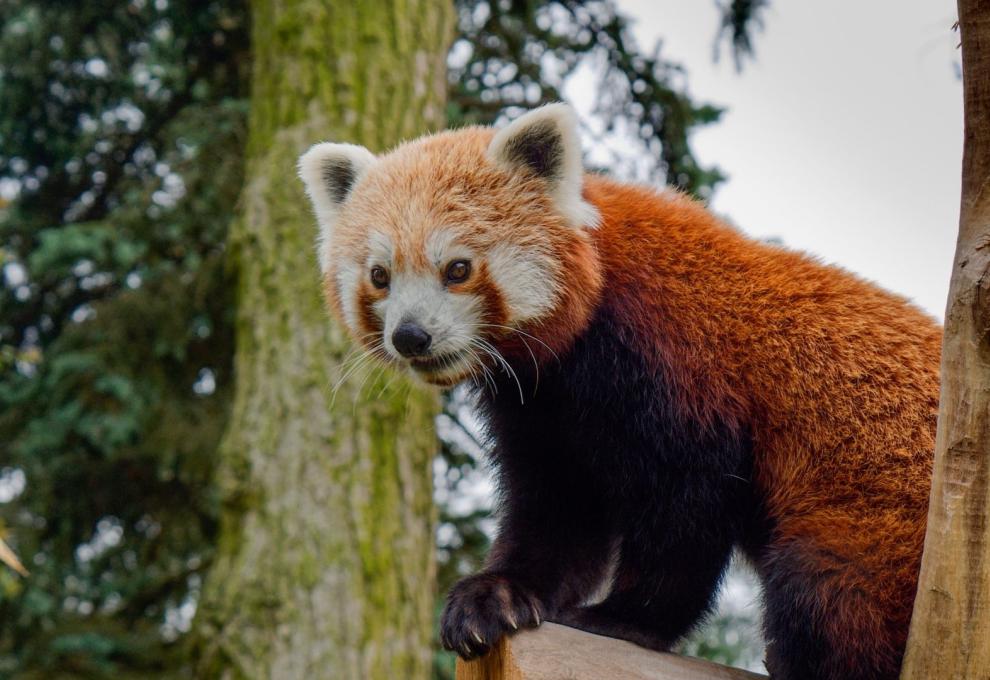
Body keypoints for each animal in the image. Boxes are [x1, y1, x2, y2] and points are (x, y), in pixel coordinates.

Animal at [298, 102, 940, 680]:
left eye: (457, 269)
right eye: (380, 276)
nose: (410, 336)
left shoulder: (673, 362)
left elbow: (687, 506)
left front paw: (624, 618)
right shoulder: (541, 409)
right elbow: (558, 509)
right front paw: (496, 596)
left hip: (877, 522)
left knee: (826, 592)